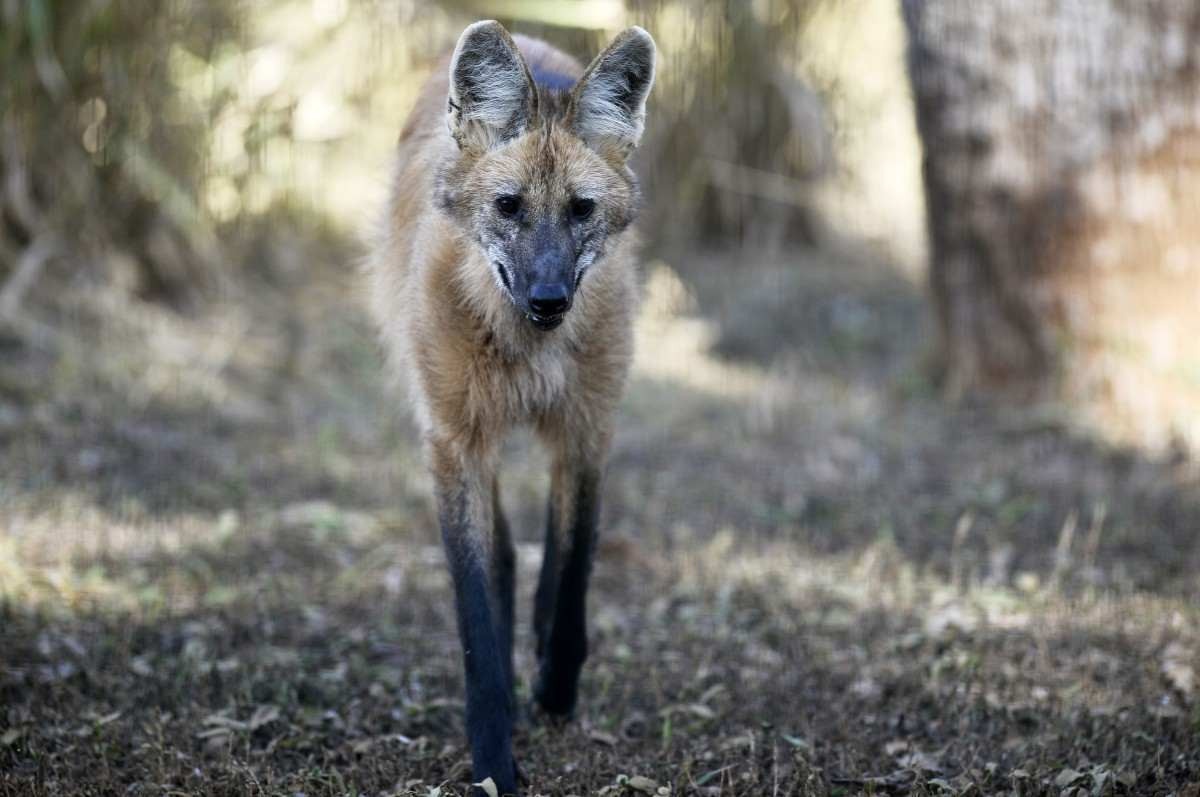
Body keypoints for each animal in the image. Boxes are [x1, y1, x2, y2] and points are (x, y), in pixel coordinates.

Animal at [367, 21, 657, 792]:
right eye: (508, 207)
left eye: (581, 209)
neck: (529, 351)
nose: (549, 298)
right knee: (498, 549)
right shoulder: (454, 440)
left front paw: (555, 683)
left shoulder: (587, 427)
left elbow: (575, 558)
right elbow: (473, 603)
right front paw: (494, 754)